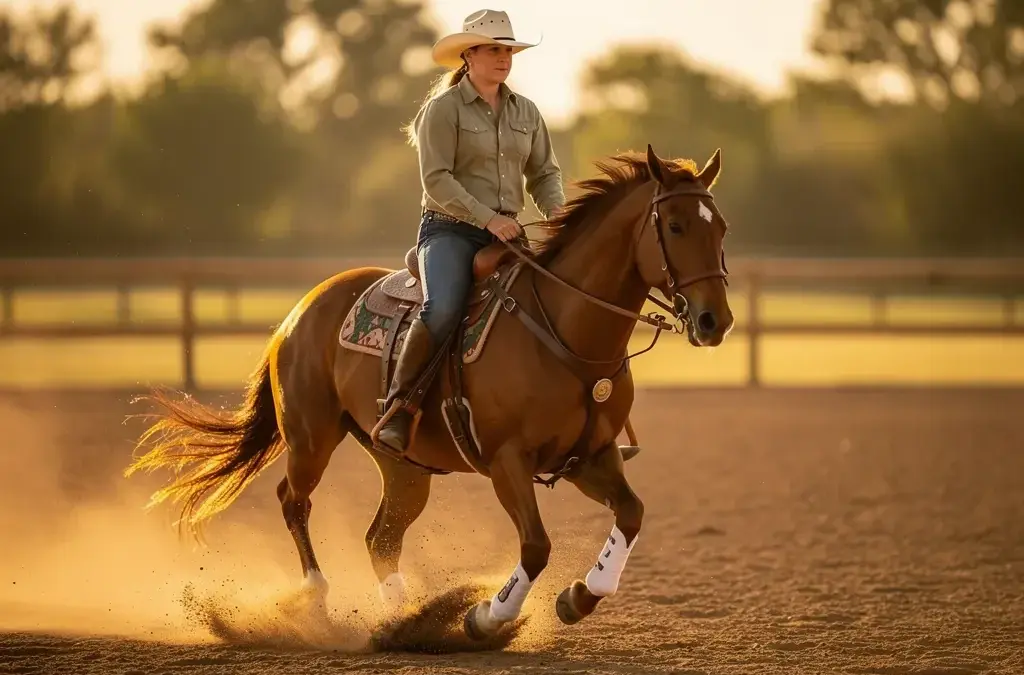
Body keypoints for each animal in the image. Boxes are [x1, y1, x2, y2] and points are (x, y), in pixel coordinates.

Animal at [124, 143, 735, 640]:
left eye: (721, 227)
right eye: (675, 225)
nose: (715, 321)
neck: (564, 331)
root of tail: (299, 312)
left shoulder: (590, 456)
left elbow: (631, 514)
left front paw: (580, 596)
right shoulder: (507, 461)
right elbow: (536, 546)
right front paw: (487, 616)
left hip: (403, 466)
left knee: (380, 538)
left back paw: (401, 620)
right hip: (311, 437)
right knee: (293, 501)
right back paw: (321, 597)